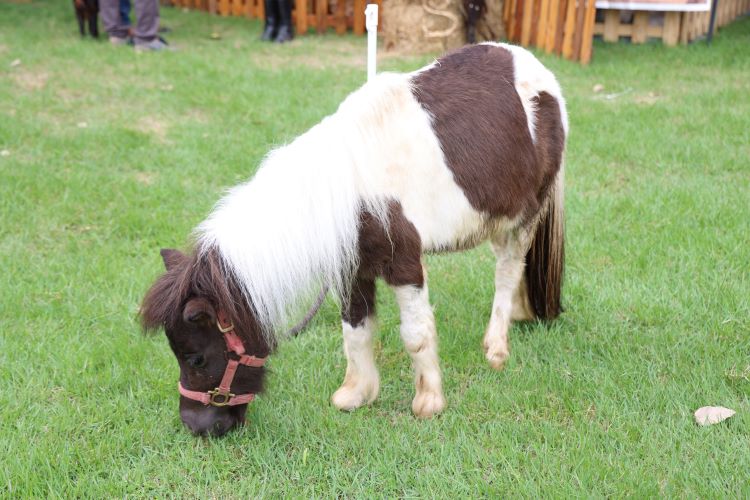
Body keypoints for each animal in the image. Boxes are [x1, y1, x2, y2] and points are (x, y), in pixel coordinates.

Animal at [141, 42, 568, 437]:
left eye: (195, 358)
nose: (197, 426)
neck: (346, 191)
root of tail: (536, 68)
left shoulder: (405, 264)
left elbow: (415, 334)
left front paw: (429, 402)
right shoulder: (350, 267)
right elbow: (355, 330)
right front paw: (356, 394)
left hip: (525, 216)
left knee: (507, 271)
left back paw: (496, 347)